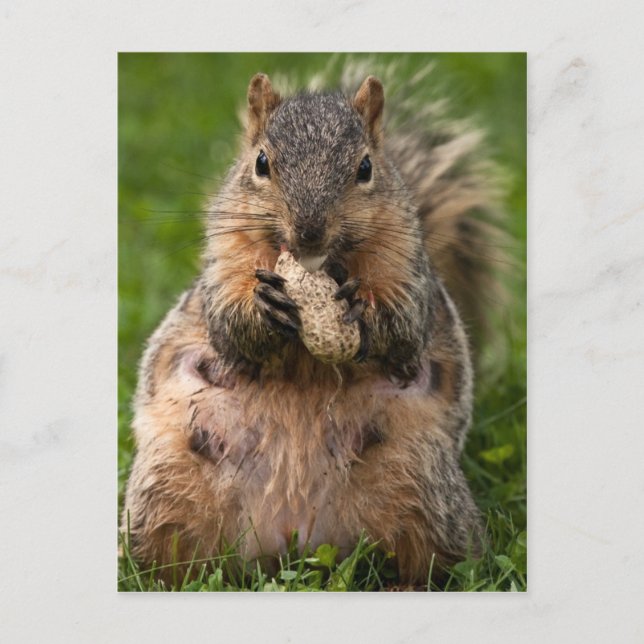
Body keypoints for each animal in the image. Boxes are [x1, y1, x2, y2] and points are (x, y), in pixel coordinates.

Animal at [122, 62, 504, 585]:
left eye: (366, 168)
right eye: (261, 163)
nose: (308, 230)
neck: (322, 267)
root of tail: (291, 535)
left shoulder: (410, 269)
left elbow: (406, 326)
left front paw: (363, 310)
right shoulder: (223, 262)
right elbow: (226, 325)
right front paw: (263, 307)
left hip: (421, 485)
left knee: (434, 563)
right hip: (165, 491)